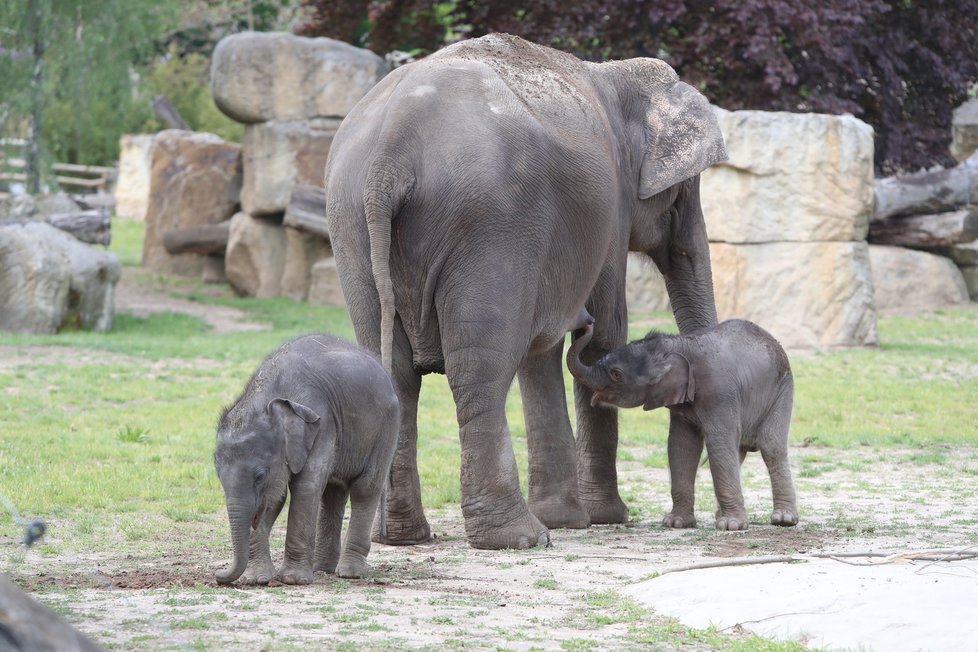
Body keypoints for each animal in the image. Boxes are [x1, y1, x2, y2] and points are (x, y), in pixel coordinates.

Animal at [214, 334, 396, 584]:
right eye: (219, 478)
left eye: (260, 476)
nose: (217, 574)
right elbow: (276, 497)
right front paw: (257, 579)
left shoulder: (323, 424)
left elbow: (305, 488)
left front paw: (293, 579)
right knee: (332, 494)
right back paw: (322, 569)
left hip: (386, 428)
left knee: (365, 488)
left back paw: (349, 573)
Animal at [326, 31, 724, 552]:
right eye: (685, 190)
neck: (612, 71)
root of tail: (389, 156)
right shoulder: (611, 211)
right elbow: (607, 332)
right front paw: (604, 518)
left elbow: (544, 352)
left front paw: (570, 519)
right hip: (489, 224)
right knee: (479, 370)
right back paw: (518, 537)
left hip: (351, 226)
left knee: (390, 368)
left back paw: (403, 536)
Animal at [568, 320, 796, 528]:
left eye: (616, 374)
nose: (588, 324)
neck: (678, 345)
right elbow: (681, 446)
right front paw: (675, 523)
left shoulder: (719, 392)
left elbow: (718, 444)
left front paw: (731, 526)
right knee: (737, 450)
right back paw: (722, 515)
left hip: (782, 389)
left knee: (770, 446)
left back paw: (783, 520)